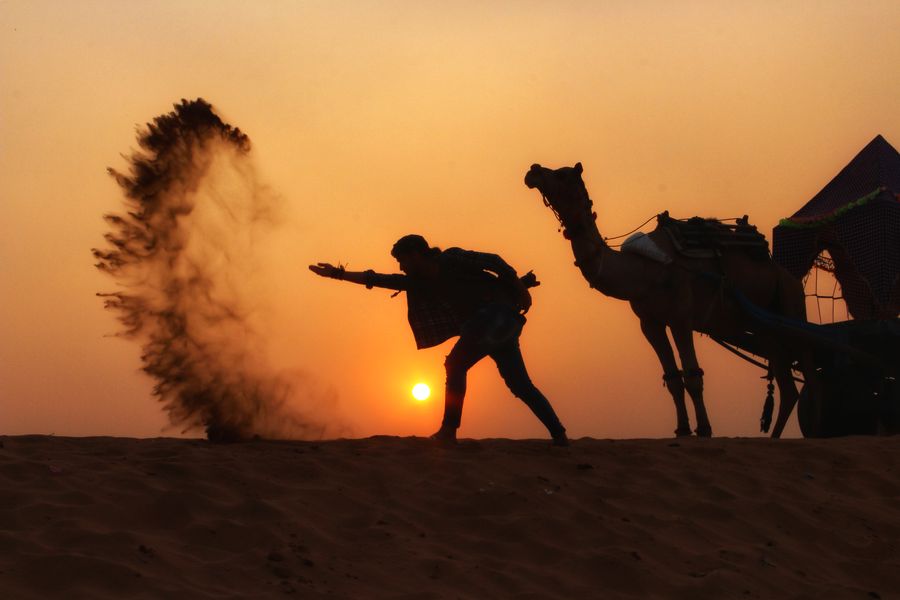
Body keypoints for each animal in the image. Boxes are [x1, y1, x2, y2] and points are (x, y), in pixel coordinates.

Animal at [524, 162, 817, 438]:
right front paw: (683, 429)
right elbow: (674, 378)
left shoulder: (681, 316)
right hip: (766, 329)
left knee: (808, 363)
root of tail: (787, 275)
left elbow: (692, 375)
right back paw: (775, 437)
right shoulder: (650, 322)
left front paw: (704, 430)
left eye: (562, 174)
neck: (645, 270)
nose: (533, 171)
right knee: (788, 385)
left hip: (791, 301)